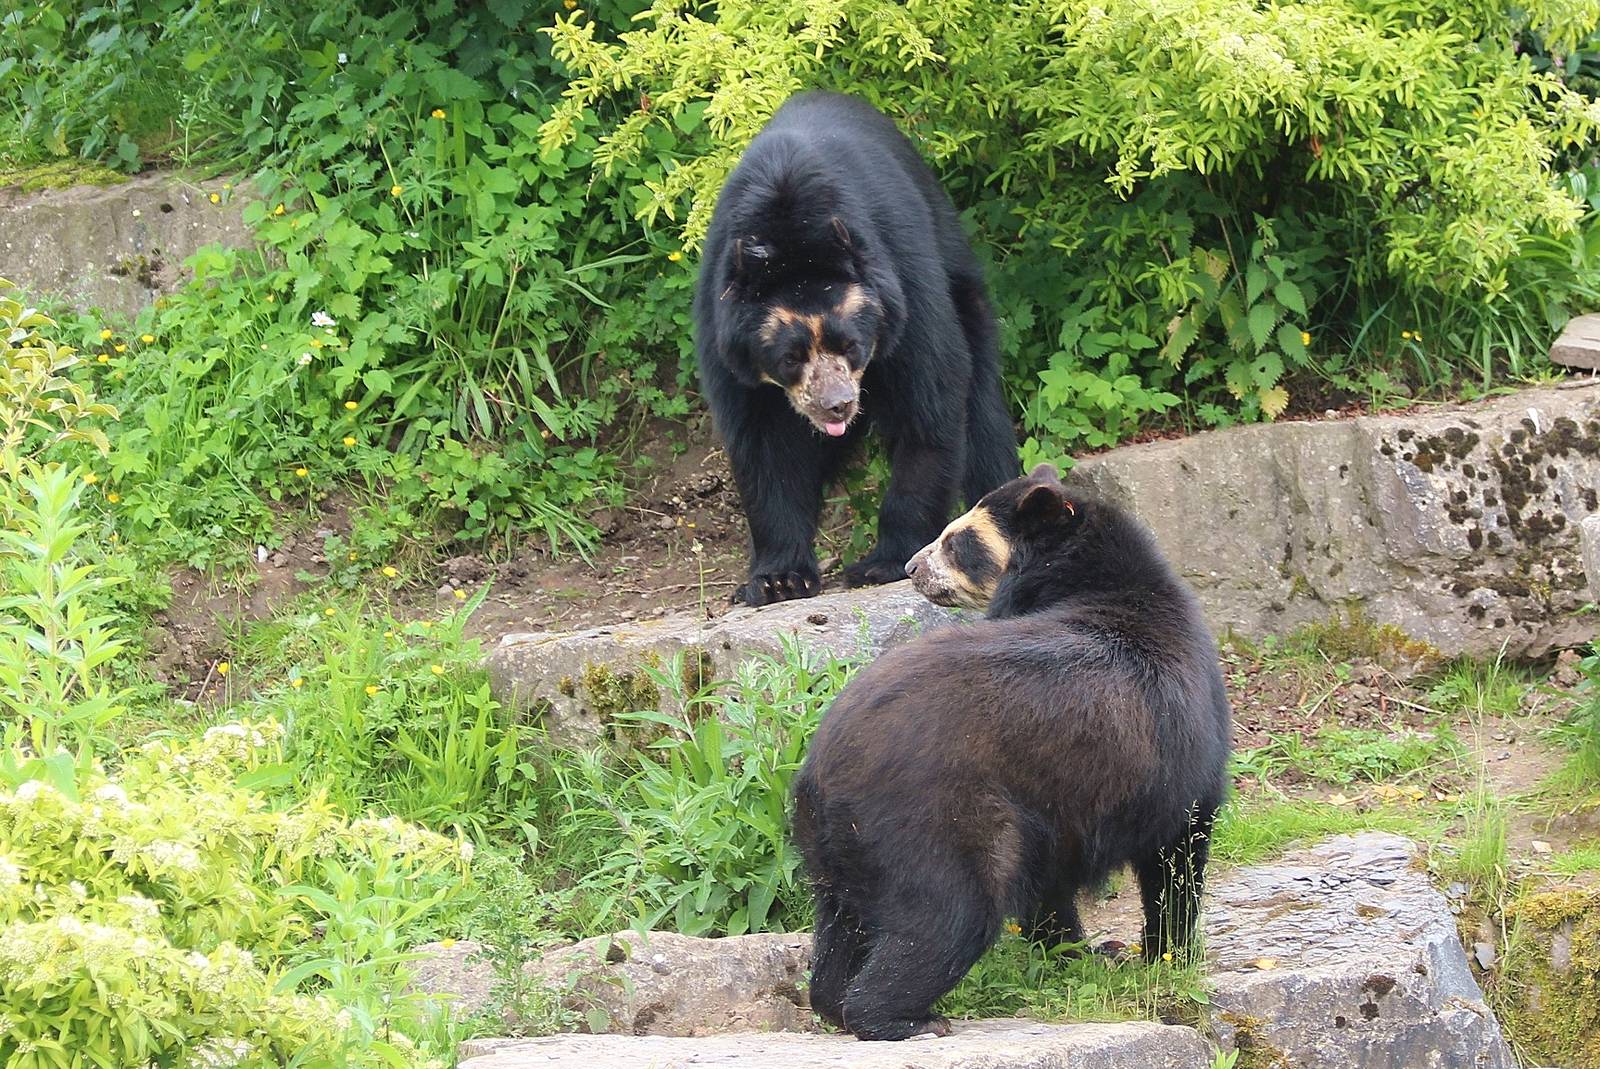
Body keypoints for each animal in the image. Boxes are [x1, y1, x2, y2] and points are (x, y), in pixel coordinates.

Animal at [693, 90, 1019, 607]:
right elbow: (762, 446)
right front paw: (779, 579)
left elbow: (929, 404)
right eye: (790, 358)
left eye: (851, 344)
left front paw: (882, 564)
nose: (838, 406)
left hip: (963, 285)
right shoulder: (724, 338)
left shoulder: (905, 288)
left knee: (982, 412)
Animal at [789, 464, 1232, 1041]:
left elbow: (1055, 884)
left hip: (839, 847)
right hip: (939, 821)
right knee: (949, 914)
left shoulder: (1059, 809)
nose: (911, 567)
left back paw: (832, 1001)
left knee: (843, 919)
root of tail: (821, 772)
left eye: (957, 541)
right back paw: (910, 1019)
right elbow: (1176, 856)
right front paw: (1166, 956)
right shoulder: (1179, 753)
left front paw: (1081, 954)